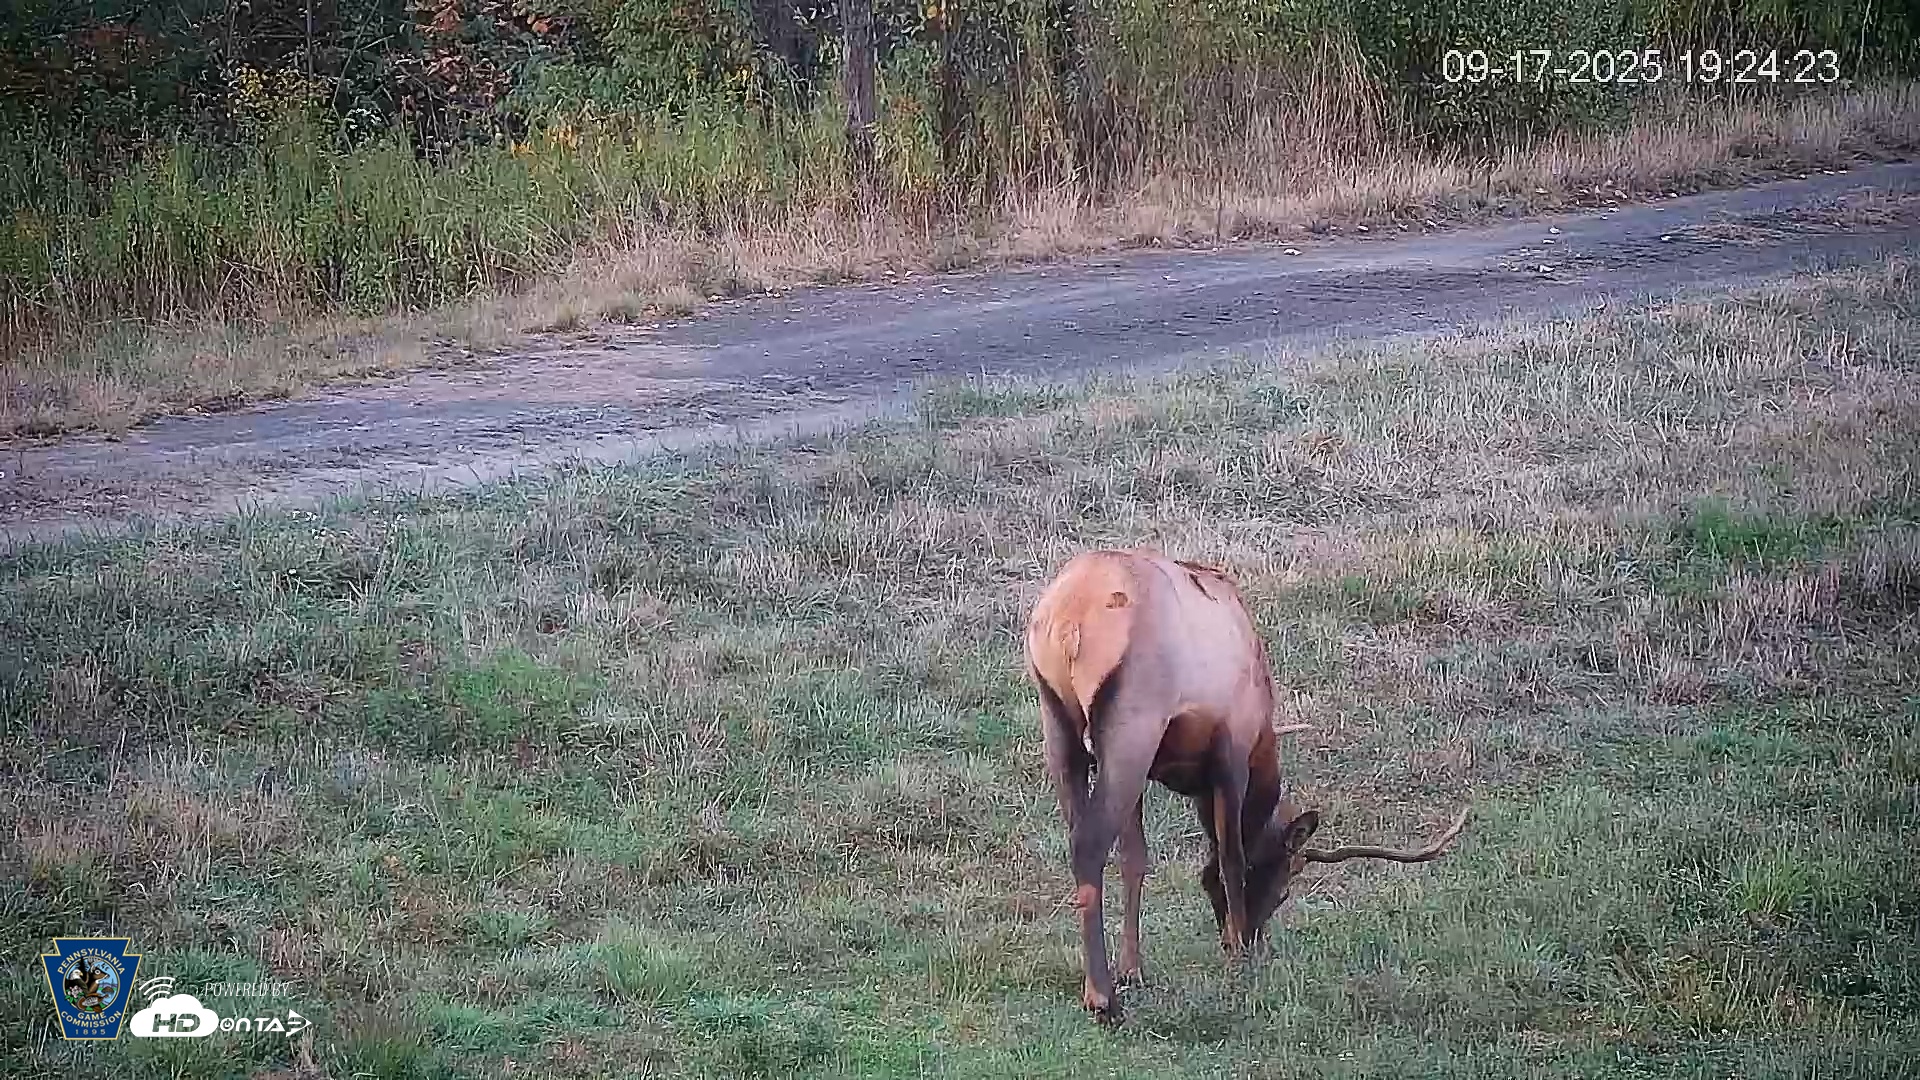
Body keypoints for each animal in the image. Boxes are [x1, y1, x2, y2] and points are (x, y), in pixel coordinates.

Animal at [1024, 547, 1470, 1022]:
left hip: (1059, 723)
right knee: (1088, 844)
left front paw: (1134, 967)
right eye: (1285, 883)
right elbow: (1230, 857)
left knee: (1080, 834)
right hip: (1132, 723)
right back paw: (1102, 998)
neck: (1263, 735)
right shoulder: (1230, 753)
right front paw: (1236, 955)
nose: (1254, 938)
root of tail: (1068, 621)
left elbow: (1137, 859)